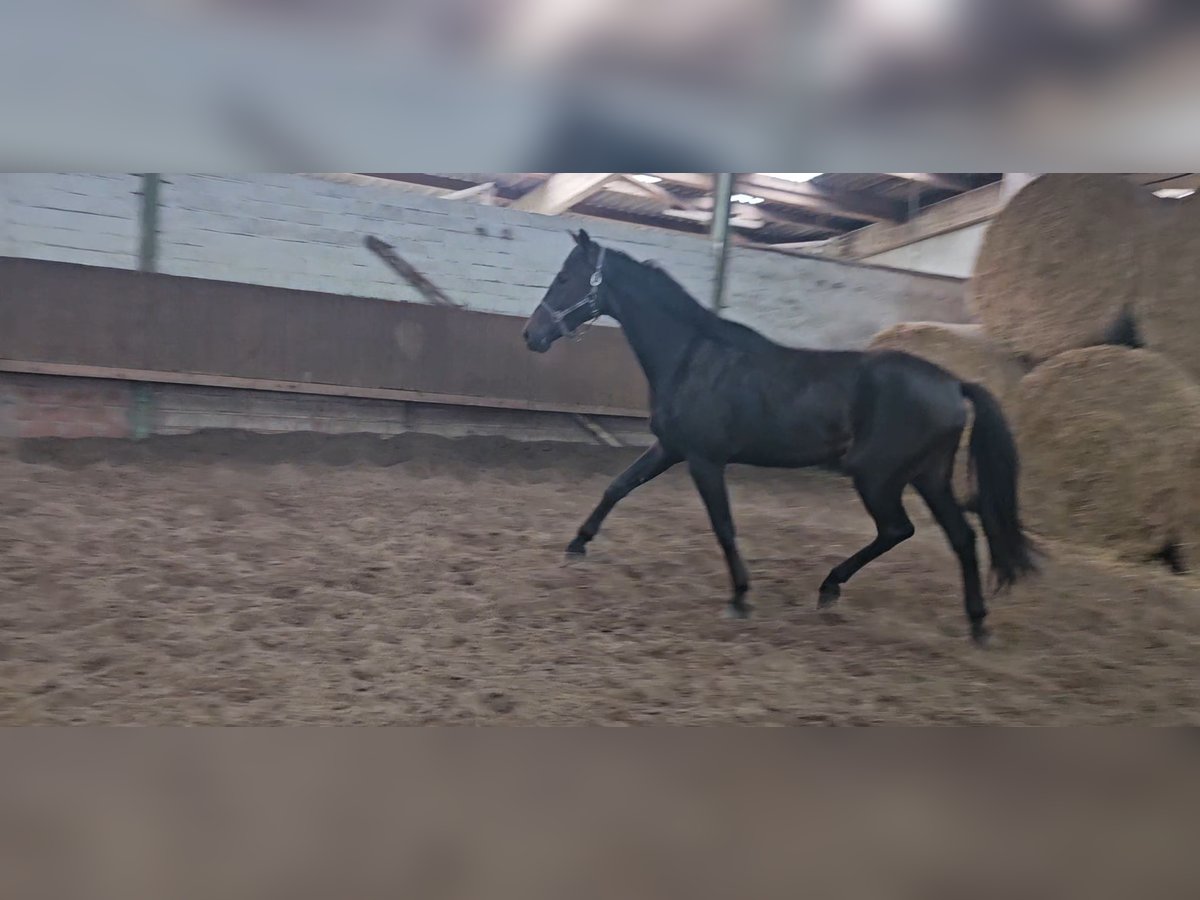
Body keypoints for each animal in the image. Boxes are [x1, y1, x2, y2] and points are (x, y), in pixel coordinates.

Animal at [520, 229, 1036, 643]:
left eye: (564, 278)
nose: (531, 335)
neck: (693, 357)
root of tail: (954, 383)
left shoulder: (705, 459)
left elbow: (723, 526)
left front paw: (740, 597)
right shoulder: (670, 449)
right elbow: (618, 486)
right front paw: (577, 545)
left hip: (878, 478)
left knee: (899, 530)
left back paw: (832, 587)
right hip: (928, 477)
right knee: (962, 537)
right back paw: (975, 623)